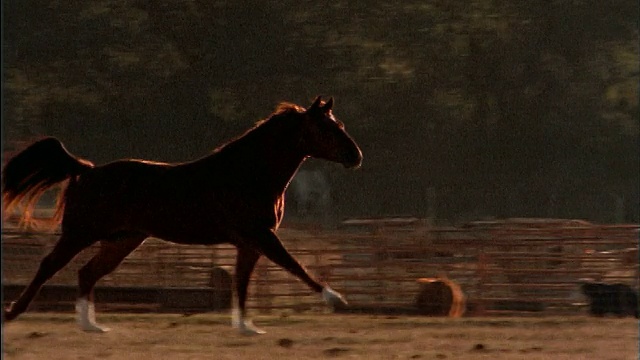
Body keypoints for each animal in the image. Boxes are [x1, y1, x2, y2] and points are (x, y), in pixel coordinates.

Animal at [0, 96, 362, 334]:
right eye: (326, 129)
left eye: (340, 124)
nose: (355, 156)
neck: (248, 174)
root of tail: (86, 170)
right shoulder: (261, 235)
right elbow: (295, 265)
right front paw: (336, 299)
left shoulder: (250, 243)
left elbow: (242, 282)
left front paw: (246, 328)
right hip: (80, 233)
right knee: (50, 266)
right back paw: (14, 312)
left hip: (122, 241)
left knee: (87, 273)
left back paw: (91, 326)